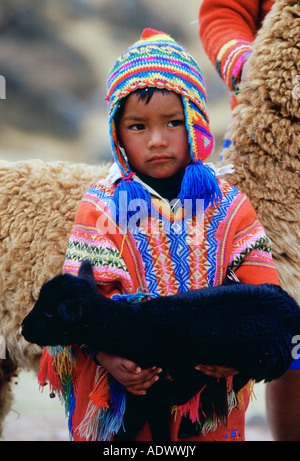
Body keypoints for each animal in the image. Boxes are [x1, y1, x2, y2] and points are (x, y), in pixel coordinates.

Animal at [22, 260, 300, 440]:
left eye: (50, 311)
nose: (24, 328)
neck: (136, 326)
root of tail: (287, 301)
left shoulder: (152, 392)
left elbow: (137, 429)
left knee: (236, 380)